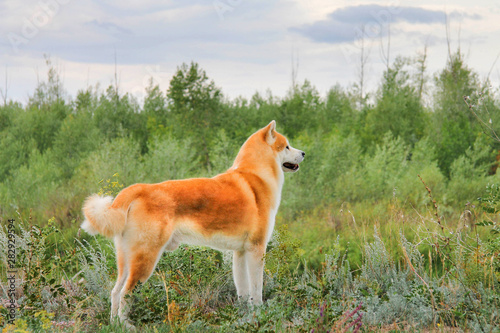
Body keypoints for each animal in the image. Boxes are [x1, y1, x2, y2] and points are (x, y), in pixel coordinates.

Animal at [81, 120, 304, 322]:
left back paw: (113, 324)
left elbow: (243, 290)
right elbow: (257, 291)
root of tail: (139, 189)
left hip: (126, 260)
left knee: (115, 292)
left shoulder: (240, 253)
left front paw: (244, 315)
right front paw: (259, 314)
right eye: (286, 146)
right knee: (125, 294)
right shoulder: (257, 249)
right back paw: (125, 325)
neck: (256, 175)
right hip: (145, 259)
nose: (303, 153)